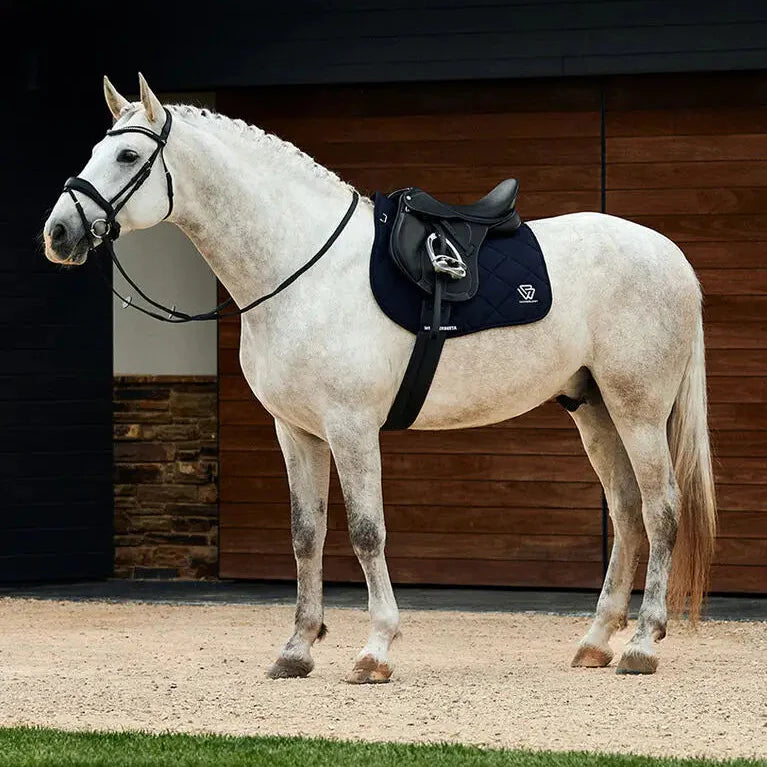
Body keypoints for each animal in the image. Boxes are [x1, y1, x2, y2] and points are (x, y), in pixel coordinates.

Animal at [43, 74, 716, 682]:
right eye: (96, 150)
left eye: (128, 155)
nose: (59, 233)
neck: (302, 268)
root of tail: (671, 257)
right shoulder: (296, 432)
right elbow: (306, 535)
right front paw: (296, 650)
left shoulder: (352, 429)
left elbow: (367, 533)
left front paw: (375, 651)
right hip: (594, 409)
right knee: (627, 512)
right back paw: (596, 642)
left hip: (638, 411)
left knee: (661, 510)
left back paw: (642, 646)